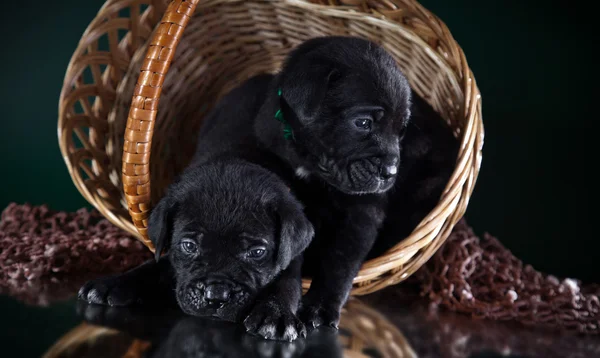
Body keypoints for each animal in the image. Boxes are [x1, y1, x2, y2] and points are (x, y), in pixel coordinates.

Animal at [78, 75, 314, 342]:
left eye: (257, 252)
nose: (216, 295)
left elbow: (287, 284)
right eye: (189, 246)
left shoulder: (291, 258)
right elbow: (156, 264)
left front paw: (277, 314)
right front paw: (114, 283)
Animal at [251, 35, 458, 328]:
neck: (311, 162)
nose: (391, 172)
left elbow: (340, 263)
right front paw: (276, 307)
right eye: (363, 123)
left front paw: (320, 307)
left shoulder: (363, 213)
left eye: (401, 131)